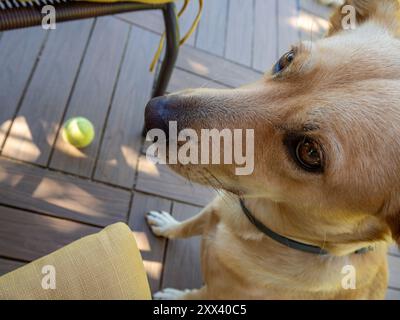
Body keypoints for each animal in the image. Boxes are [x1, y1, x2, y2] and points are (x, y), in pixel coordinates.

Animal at [145, 0, 400, 300]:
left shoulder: (216, 293)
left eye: (309, 152)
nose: (151, 113)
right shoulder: (211, 212)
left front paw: (174, 296)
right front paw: (168, 226)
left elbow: (192, 295)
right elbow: (187, 226)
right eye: (286, 59)